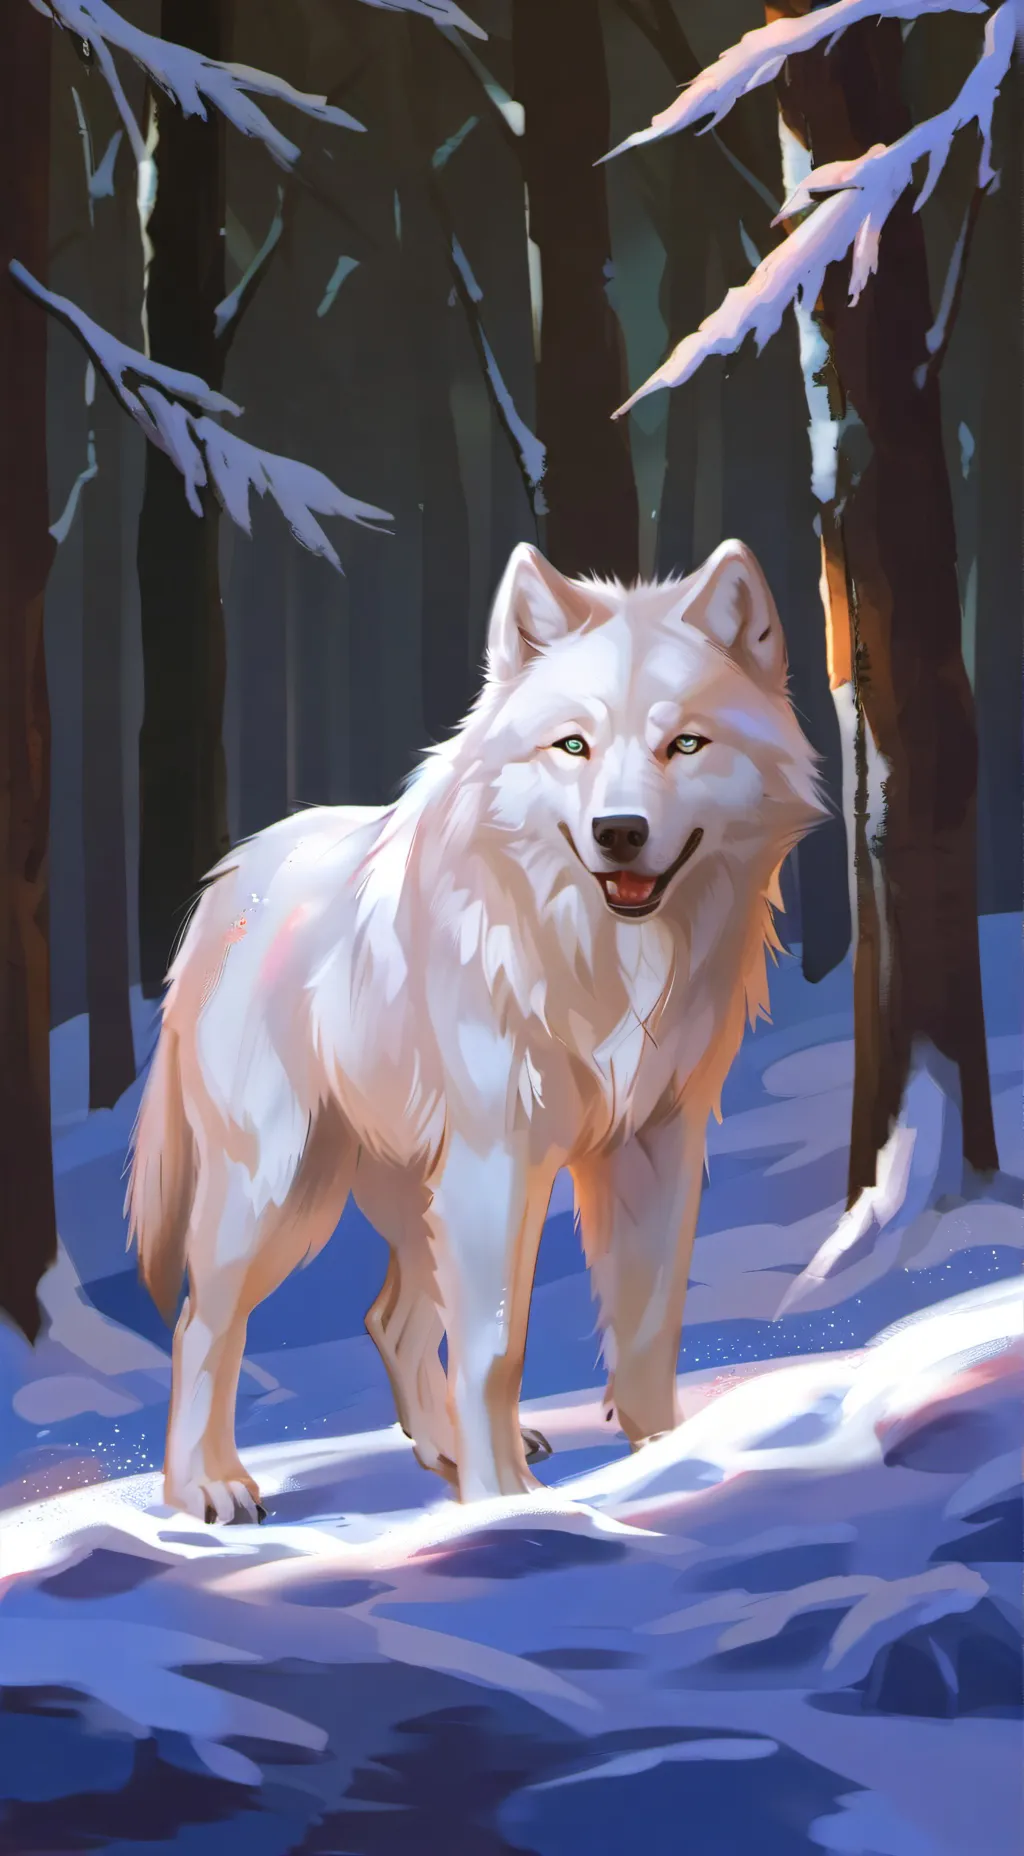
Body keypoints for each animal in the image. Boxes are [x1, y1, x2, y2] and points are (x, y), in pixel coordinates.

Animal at [127, 538, 823, 1522]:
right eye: (573, 745)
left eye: (685, 743)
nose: (619, 832)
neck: (601, 962)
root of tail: (228, 882)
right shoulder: (502, 1164)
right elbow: (497, 1351)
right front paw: (506, 1509)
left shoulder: (655, 1149)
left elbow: (650, 1326)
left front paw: (663, 1465)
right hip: (280, 1191)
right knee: (202, 1325)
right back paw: (209, 1488)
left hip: (417, 1194)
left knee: (389, 1320)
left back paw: (445, 1455)